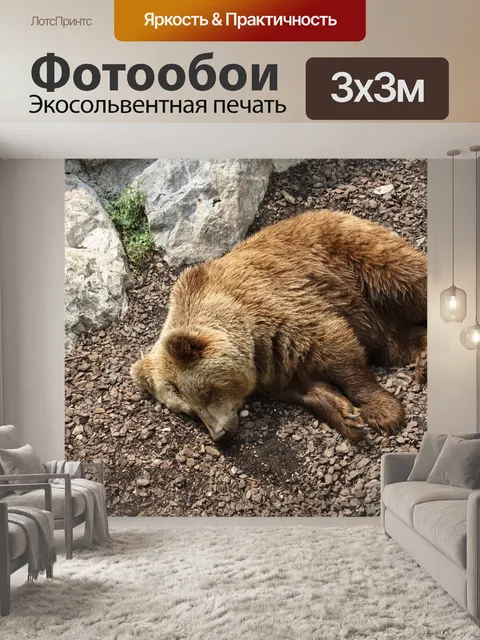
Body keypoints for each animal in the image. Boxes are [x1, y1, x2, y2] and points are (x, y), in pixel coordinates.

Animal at [131, 209, 427, 444]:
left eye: (206, 392)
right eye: (189, 411)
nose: (219, 435)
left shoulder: (285, 312)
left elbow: (340, 351)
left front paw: (384, 413)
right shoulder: (274, 367)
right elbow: (307, 389)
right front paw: (349, 418)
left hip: (358, 258)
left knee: (406, 280)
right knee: (394, 342)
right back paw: (422, 358)